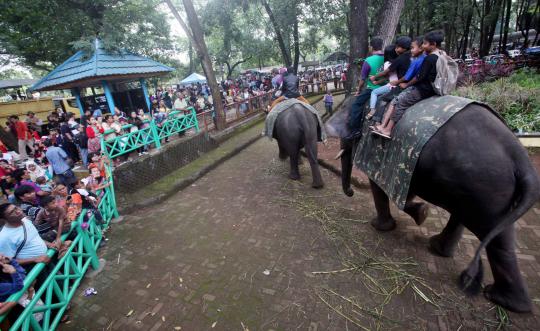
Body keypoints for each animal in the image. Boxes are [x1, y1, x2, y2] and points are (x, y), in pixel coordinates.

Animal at [324, 98, 540, 314]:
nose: (350, 192)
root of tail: (523, 162)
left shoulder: (375, 148)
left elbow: (378, 185)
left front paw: (380, 226)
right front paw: (422, 213)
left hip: (485, 187)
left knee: (490, 234)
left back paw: (497, 297)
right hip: (482, 189)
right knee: (491, 233)